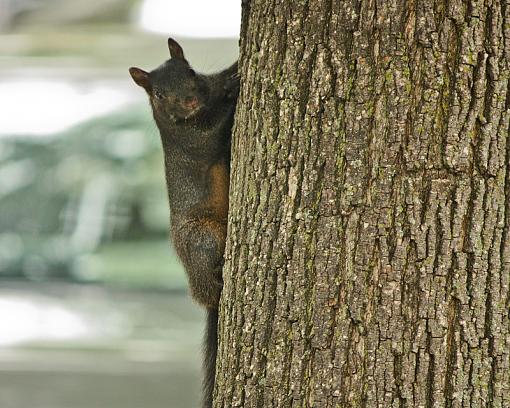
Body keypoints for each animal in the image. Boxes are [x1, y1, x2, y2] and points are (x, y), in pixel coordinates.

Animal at [128, 38, 238, 408]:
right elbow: (216, 123)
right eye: (159, 94)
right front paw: (236, 86)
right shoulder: (195, 135)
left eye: (190, 71)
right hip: (203, 239)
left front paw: (235, 70)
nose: (189, 100)